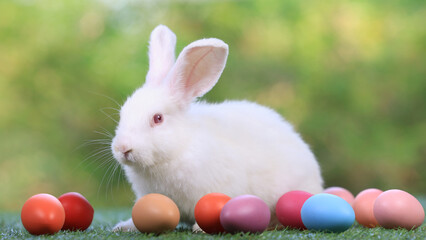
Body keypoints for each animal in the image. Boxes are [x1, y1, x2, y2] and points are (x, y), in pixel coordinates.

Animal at [111, 25, 322, 232]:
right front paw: (124, 226)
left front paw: (201, 228)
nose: (123, 148)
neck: (178, 149)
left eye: (158, 118)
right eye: (122, 114)